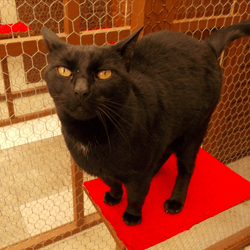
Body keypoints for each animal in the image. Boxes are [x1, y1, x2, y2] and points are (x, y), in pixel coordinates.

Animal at [42, 20, 250, 226]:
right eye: (64, 71)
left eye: (104, 74)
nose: (81, 91)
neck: (90, 134)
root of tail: (205, 45)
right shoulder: (102, 168)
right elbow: (113, 181)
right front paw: (115, 196)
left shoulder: (138, 172)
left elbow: (136, 194)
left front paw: (132, 215)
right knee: (165, 151)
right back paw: (155, 170)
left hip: (194, 130)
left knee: (186, 167)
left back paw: (175, 201)